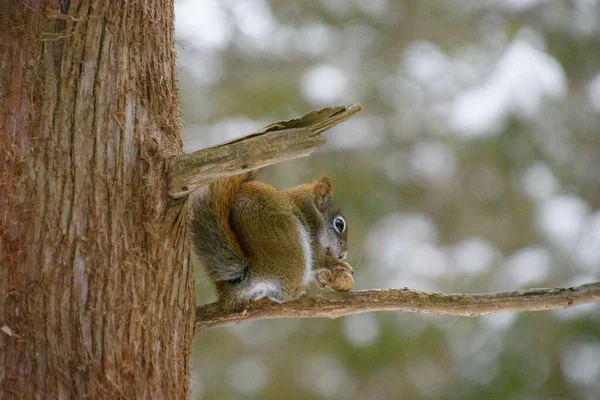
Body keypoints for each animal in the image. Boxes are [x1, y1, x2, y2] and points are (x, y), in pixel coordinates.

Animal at [190, 170, 354, 308]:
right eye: (339, 224)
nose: (343, 255)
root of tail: (254, 272)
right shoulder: (312, 226)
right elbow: (317, 260)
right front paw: (335, 263)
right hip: (291, 240)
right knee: (284, 294)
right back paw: (297, 292)